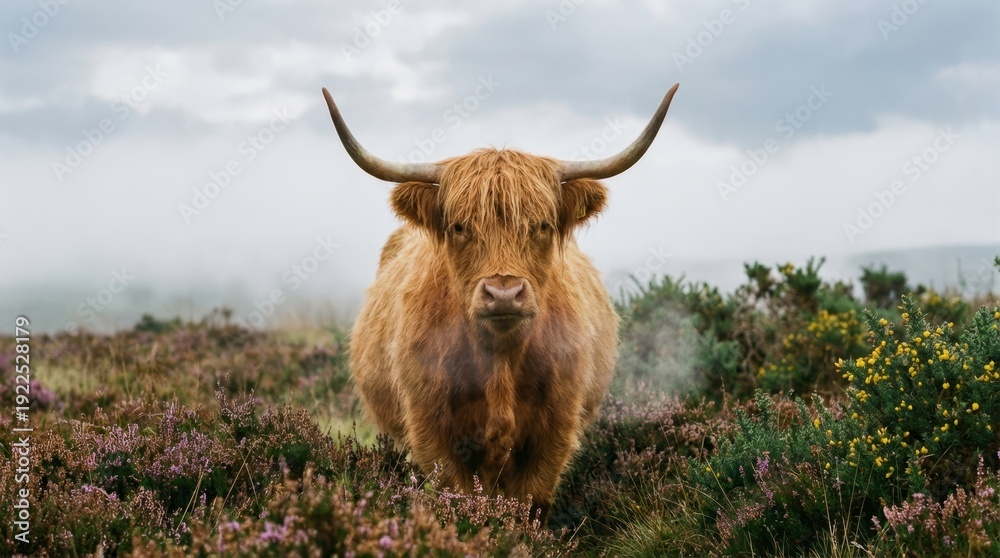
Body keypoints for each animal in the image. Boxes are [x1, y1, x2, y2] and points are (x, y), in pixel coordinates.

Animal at [323, 83, 678, 523]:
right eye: (459, 227)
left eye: (542, 226)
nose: (504, 293)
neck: (500, 363)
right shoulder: (430, 430)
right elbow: (457, 497)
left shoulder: (556, 429)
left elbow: (531, 504)